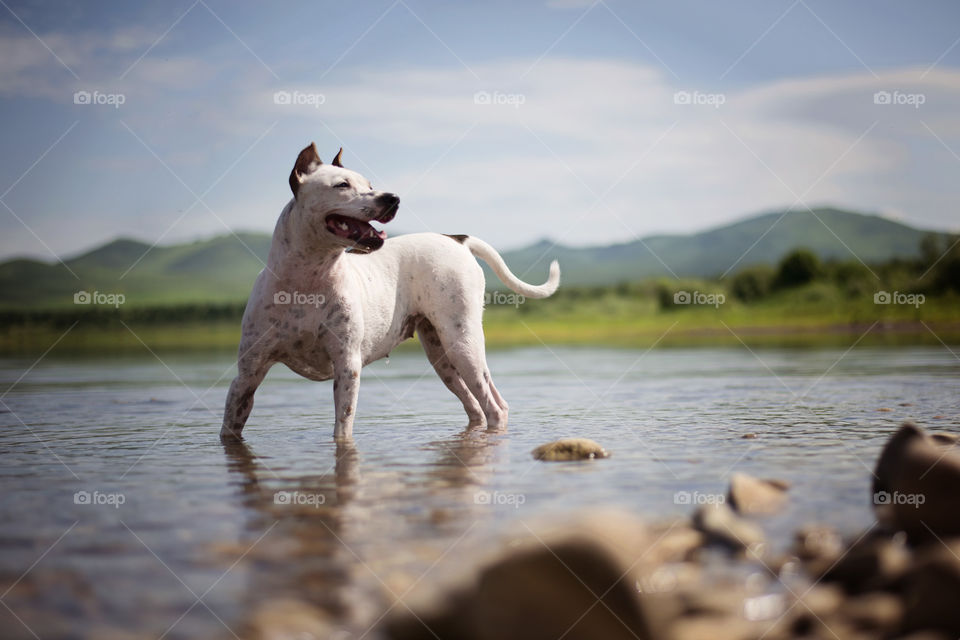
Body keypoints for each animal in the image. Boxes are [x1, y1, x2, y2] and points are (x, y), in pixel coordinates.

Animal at [220, 144, 560, 440]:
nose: (391, 198)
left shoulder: (347, 367)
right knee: (477, 406)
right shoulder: (248, 375)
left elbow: (342, 429)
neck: (308, 279)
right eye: (342, 185)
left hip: (463, 344)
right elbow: (229, 427)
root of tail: (456, 239)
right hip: (442, 356)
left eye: (369, 184)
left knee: (494, 407)